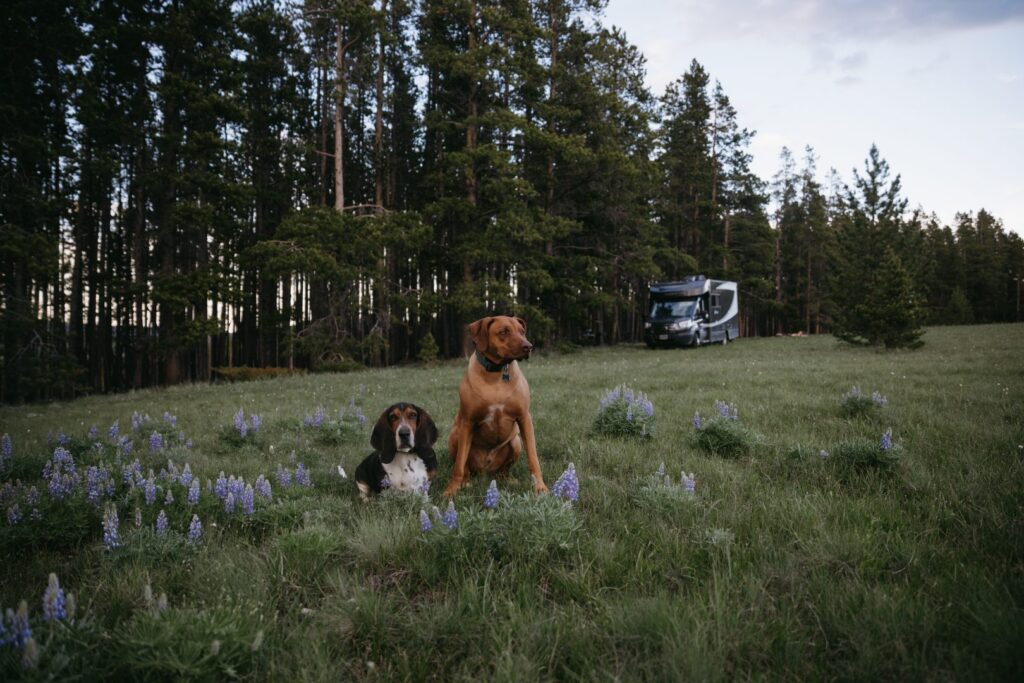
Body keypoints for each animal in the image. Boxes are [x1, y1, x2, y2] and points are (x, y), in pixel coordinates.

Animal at [444, 315, 548, 497]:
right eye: (504, 332)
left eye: (522, 331)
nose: (528, 346)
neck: (496, 372)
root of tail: (486, 471)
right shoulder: (467, 421)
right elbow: (459, 465)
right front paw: (451, 489)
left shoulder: (524, 418)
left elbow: (533, 458)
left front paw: (540, 486)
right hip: (456, 435)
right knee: (465, 466)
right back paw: (466, 481)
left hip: (515, 441)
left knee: (503, 469)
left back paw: (507, 478)